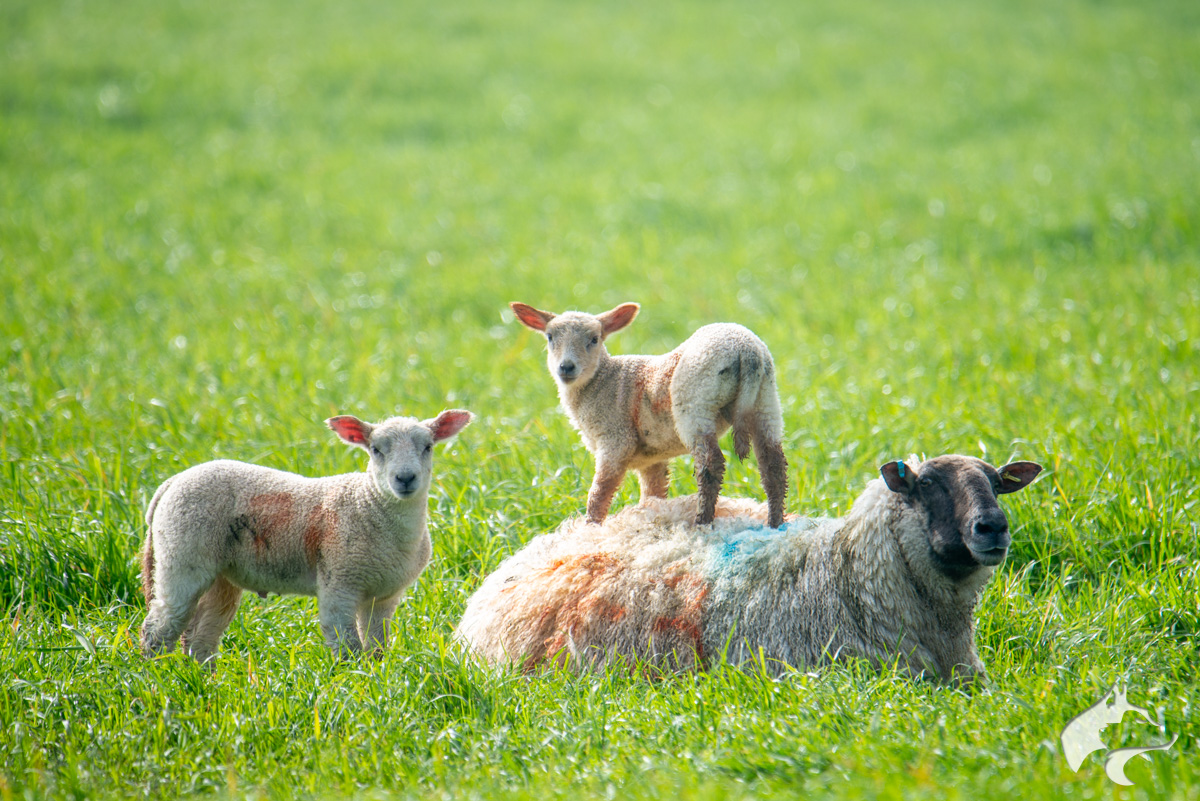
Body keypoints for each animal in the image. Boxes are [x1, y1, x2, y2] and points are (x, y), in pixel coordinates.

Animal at [139, 410, 472, 661]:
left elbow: (377, 647)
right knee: (159, 627)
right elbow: (348, 648)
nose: (405, 478)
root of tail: (173, 481)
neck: (369, 505)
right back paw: (156, 676)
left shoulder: (385, 596)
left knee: (200, 636)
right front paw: (354, 683)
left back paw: (203, 679)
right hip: (182, 555)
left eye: (428, 447)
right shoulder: (339, 582)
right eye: (376, 450)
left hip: (221, 575)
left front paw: (377, 676)